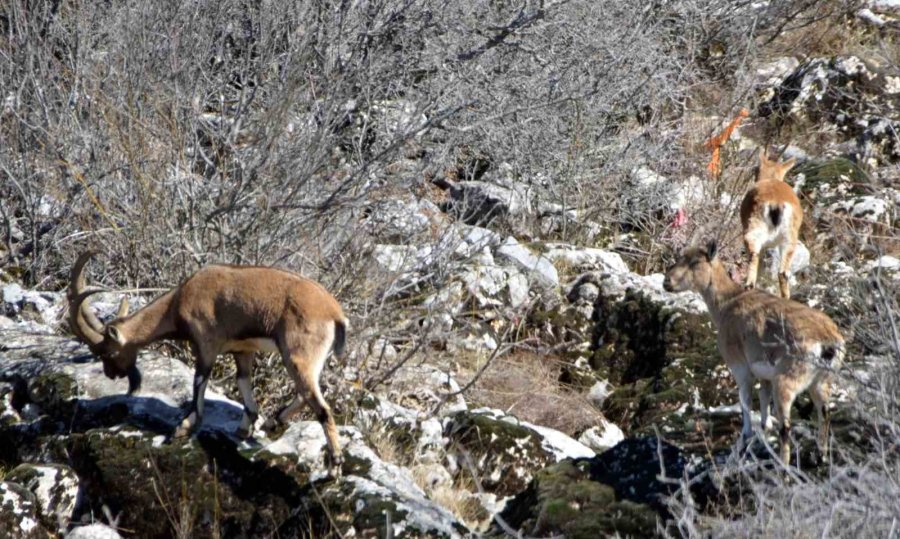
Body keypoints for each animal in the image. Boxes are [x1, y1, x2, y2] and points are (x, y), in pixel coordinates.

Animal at [66, 252, 348, 472]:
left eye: (108, 353)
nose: (111, 374)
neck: (180, 300)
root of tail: (335, 313)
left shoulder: (205, 343)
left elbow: (199, 381)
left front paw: (184, 426)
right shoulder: (242, 350)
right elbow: (243, 382)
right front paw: (244, 428)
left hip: (298, 353)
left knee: (321, 406)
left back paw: (334, 464)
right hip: (307, 359)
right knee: (305, 393)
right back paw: (273, 422)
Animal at [660, 243, 844, 462]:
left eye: (695, 262)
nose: (667, 281)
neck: (726, 304)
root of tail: (828, 342)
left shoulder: (739, 365)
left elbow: (745, 400)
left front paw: (745, 436)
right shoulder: (764, 373)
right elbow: (763, 395)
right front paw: (764, 426)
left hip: (787, 379)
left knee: (786, 425)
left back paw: (783, 463)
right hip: (822, 380)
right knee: (824, 412)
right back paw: (820, 455)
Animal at [740, 150, 800, 298]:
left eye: (756, 169)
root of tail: (776, 204)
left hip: (755, 229)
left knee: (754, 254)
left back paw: (749, 286)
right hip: (789, 239)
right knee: (782, 273)